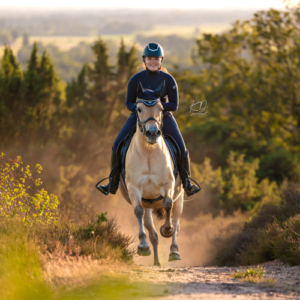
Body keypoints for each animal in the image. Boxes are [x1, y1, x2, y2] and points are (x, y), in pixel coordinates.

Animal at [119, 81, 184, 266]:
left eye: (161, 108)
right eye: (139, 109)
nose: (152, 132)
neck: (149, 152)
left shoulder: (168, 185)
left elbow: (167, 205)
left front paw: (166, 229)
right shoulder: (134, 189)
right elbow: (138, 212)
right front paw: (142, 246)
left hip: (180, 198)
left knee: (176, 221)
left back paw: (174, 251)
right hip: (148, 205)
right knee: (151, 230)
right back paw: (156, 260)